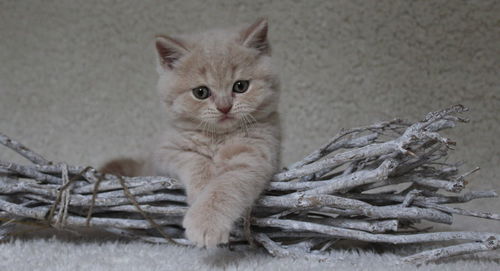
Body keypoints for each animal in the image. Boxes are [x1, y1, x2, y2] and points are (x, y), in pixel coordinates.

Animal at [101, 18, 282, 249]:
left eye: (240, 86)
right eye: (201, 92)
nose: (224, 107)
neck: (217, 137)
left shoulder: (254, 155)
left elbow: (225, 185)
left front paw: (206, 221)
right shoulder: (165, 152)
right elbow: (195, 160)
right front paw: (202, 188)